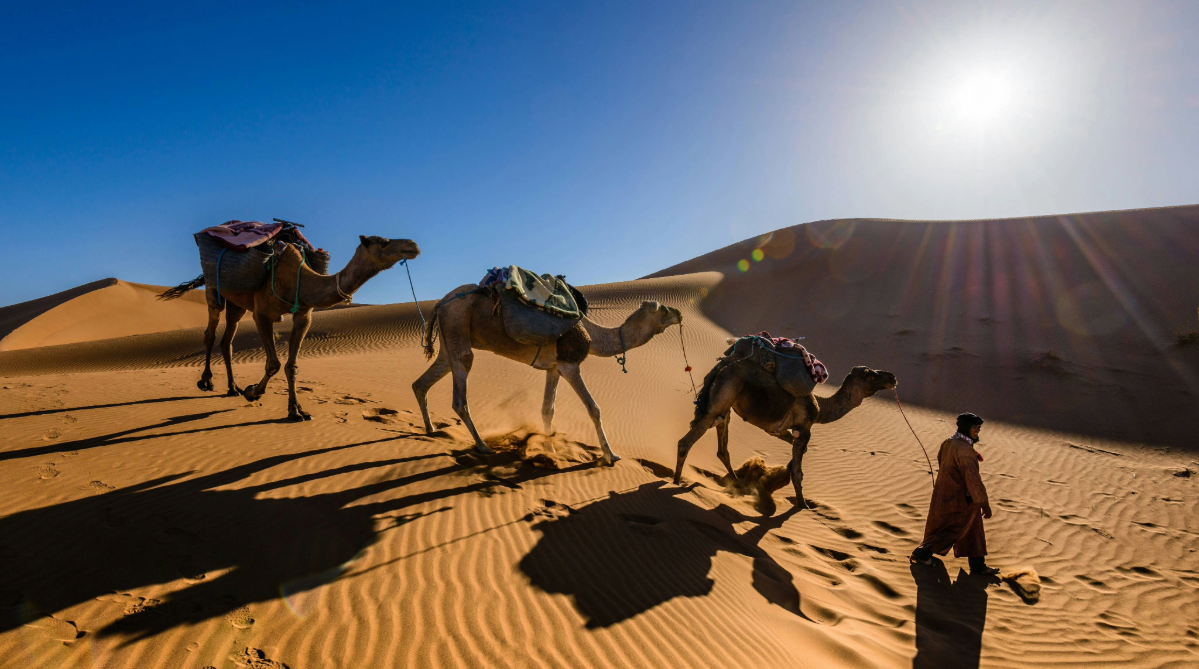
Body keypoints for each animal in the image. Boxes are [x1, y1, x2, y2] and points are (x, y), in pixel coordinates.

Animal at [160, 235, 420, 420]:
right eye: (384, 242)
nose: (413, 245)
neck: (299, 278)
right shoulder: (262, 313)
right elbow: (273, 363)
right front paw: (253, 392)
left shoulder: (303, 315)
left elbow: (291, 365)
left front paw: (296, 411)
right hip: (214, 290)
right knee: (210, 333)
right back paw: (206, 382)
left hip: (237, 303)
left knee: (227, 341)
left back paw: (232, 388)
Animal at [414, 286, 682, 465]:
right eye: (663, 309)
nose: (679, 313)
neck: (592, 334)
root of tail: (440, 303)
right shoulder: (569, 364)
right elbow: (593, 408)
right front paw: (610, 455)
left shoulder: (554, 368)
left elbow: (547, 409)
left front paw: (550, 450)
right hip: (457, 325)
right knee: (460, 394)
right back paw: (483, 446)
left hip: (449, 341)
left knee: (422, 382)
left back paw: (431, 429)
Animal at [674, 356, 896, 510]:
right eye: (870, 374)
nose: (892, 377)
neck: (820, 408)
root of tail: (720, 368)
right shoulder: (804, 430)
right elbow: (799, 472)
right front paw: (803, 505)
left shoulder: (779, 430)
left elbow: (797, 453)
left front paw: (783, 473)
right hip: (719, 401)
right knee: (686, 442)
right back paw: (675, 483)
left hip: (724, 407)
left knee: (722, 448)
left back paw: (737, 483)